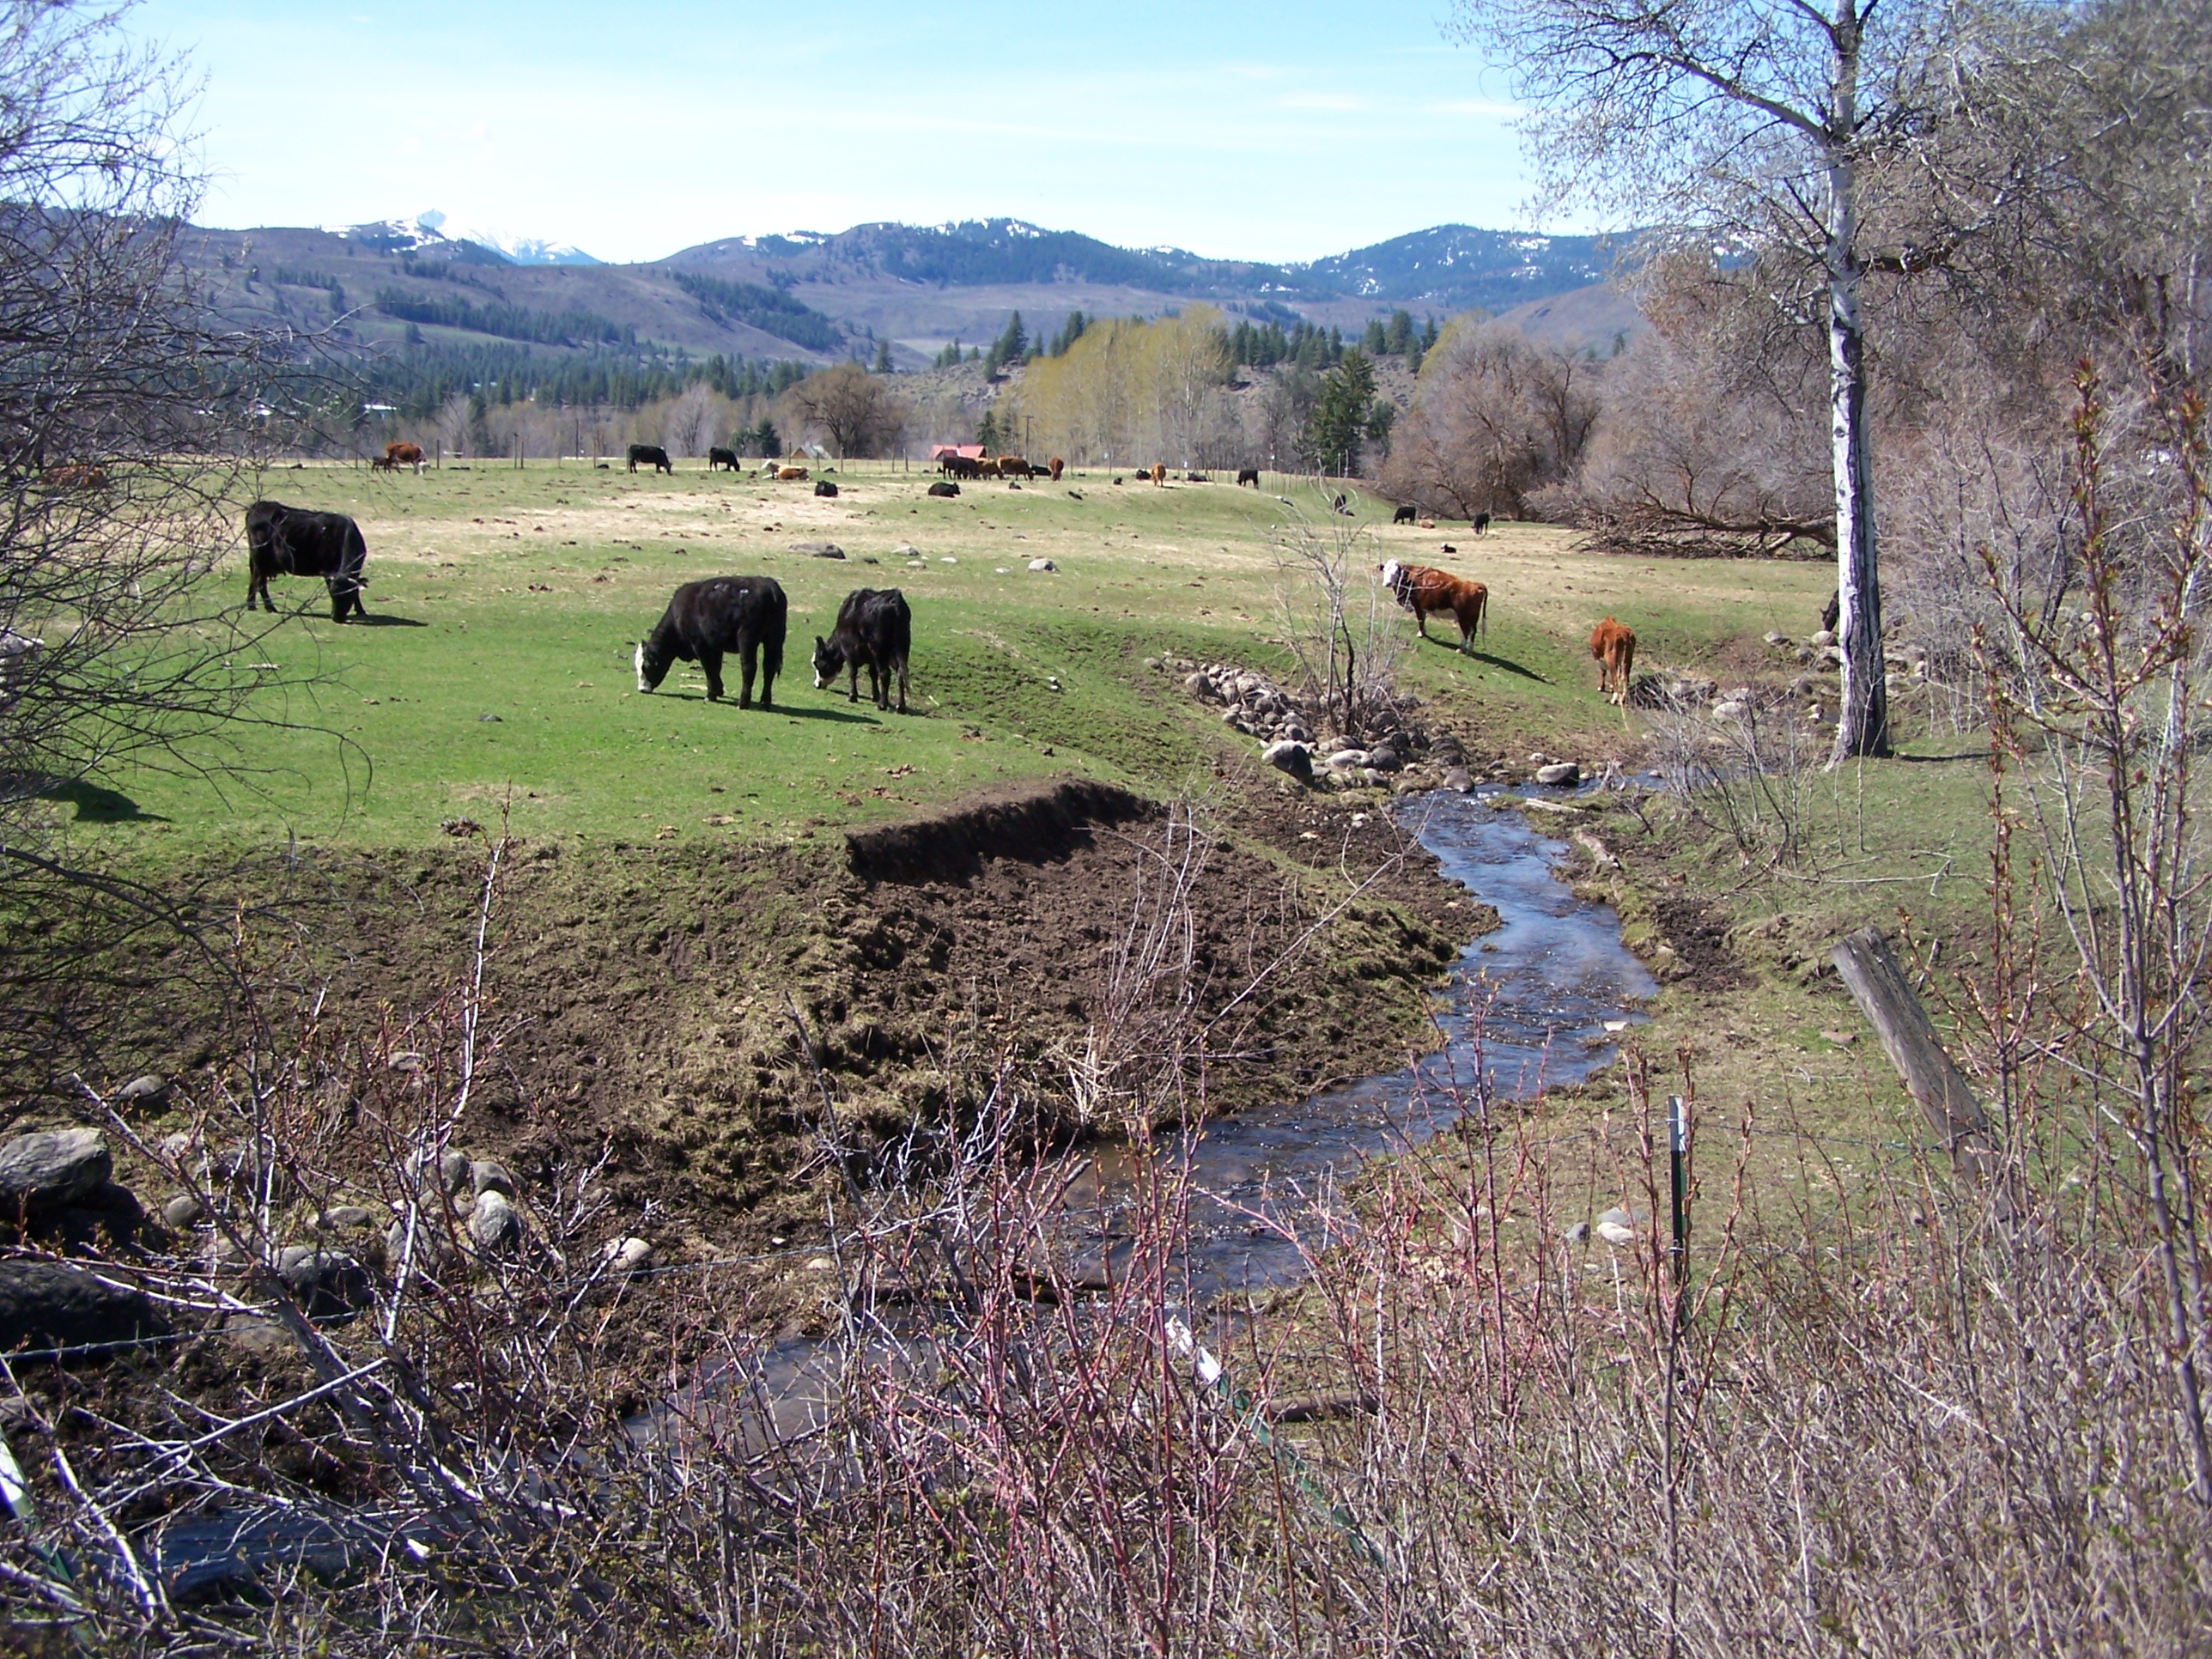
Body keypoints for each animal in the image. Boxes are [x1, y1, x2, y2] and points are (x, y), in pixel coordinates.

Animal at [244, 500, 370, 621]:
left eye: (347, 595)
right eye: (332, 594)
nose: (336, 617)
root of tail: (258, 506)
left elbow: (357, 592)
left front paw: (361, 611)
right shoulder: (328, 570)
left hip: (256, 562)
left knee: (253, 580)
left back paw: (251, 605)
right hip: (261, 560)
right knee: (261, 583)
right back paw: (269, 607)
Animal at [635, 575, 787, 708]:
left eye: (646, 667)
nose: (642, 689)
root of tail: (771, 587)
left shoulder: (701, 645)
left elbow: (709, 667)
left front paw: (711, 695)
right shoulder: (715, 646)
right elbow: (716, 667)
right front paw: (719, 690)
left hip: (747, 639)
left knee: (749, 668)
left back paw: (743, 703)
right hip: (774, 639)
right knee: (769, 668)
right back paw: (765, 702)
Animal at [811, 587, 912, 714]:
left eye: (817, 663)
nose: (816, 684)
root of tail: (893, 599)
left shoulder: (848, 651)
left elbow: (852, 672)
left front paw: (852, 696)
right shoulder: (872, 658)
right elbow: (873, 673)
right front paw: (875, 696)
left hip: (878, 649)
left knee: (885, 673)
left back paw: (882, 705)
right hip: (902, 647)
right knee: (900, 673)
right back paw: (900, 707)